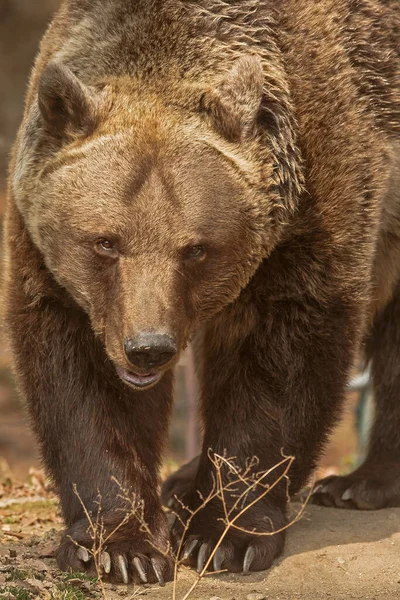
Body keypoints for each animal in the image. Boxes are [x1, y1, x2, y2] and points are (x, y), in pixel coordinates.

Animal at [3, 0, 400, 584]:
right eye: (105, 242)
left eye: (195, 249)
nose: (148, 348)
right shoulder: (54, 260)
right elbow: (83, 379)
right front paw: (122, 545)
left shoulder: (315, 196)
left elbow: (283, 354)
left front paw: (227, 534)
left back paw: (359, 482)